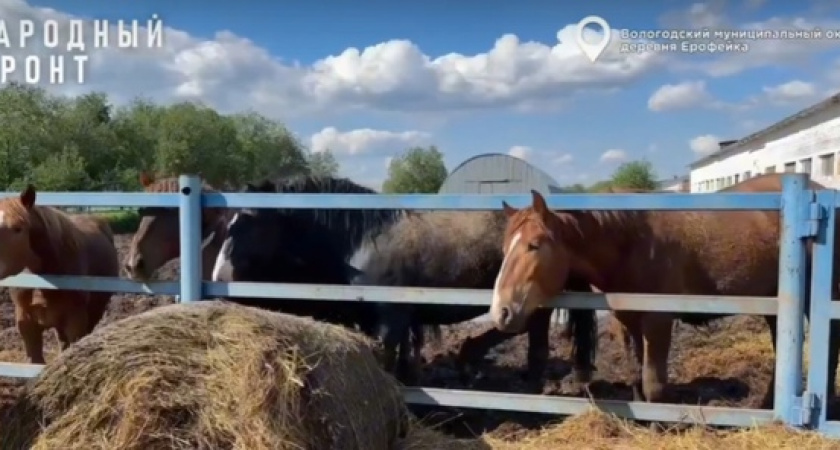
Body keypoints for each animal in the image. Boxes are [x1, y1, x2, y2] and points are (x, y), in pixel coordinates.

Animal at [492, 176, 840, 408]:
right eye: (504, 248)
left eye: (534, 245)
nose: (501, 312)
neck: (631, 241)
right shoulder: (627, 320)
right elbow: (636, 377)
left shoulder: (658, 320)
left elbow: (655, 384)